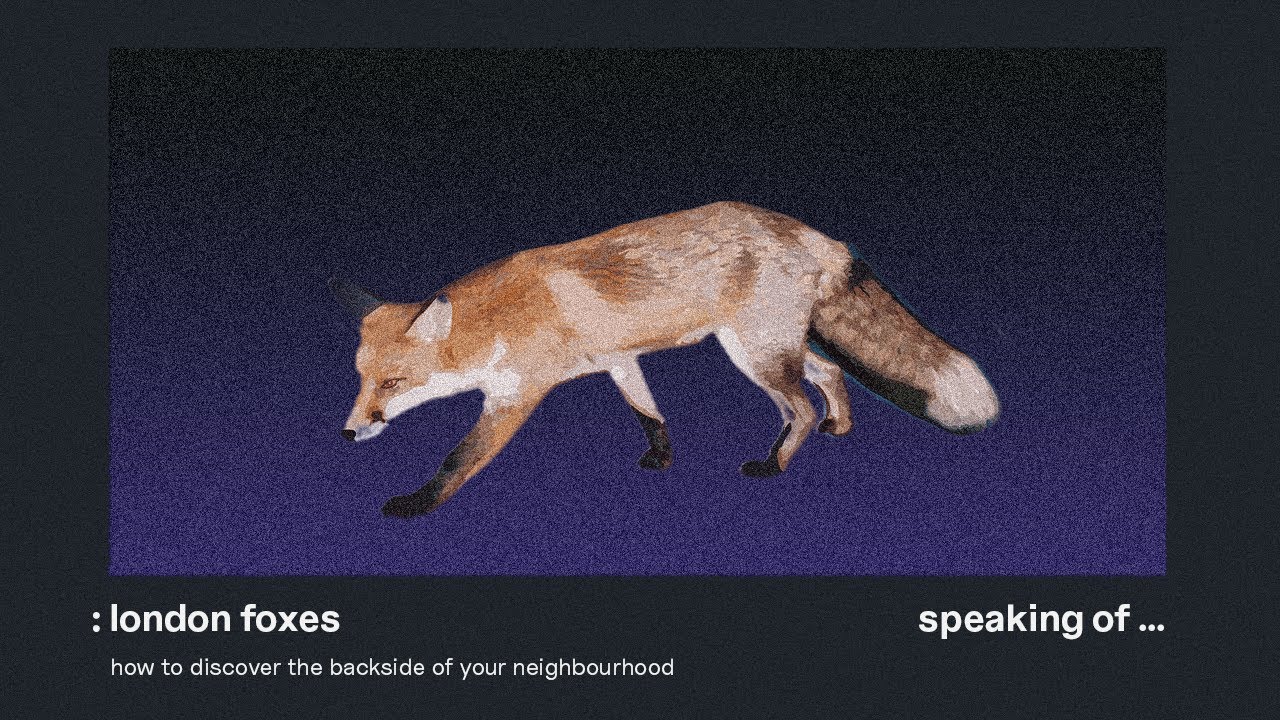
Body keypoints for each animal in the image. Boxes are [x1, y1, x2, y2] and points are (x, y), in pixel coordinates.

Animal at [331, 201, 999, 518]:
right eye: (361, 380)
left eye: (393, 382)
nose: (349, 433)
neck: (496, 323)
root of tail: (807, 231)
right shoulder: (618, 359)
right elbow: (648, 413)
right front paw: (662, 457)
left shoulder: (515, 395)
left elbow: (458, 460)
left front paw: (415, 505)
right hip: (772, 345)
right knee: (831, 372)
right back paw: (841, 423)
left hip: (754, 354)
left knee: (800, 408)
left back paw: (776, 464)